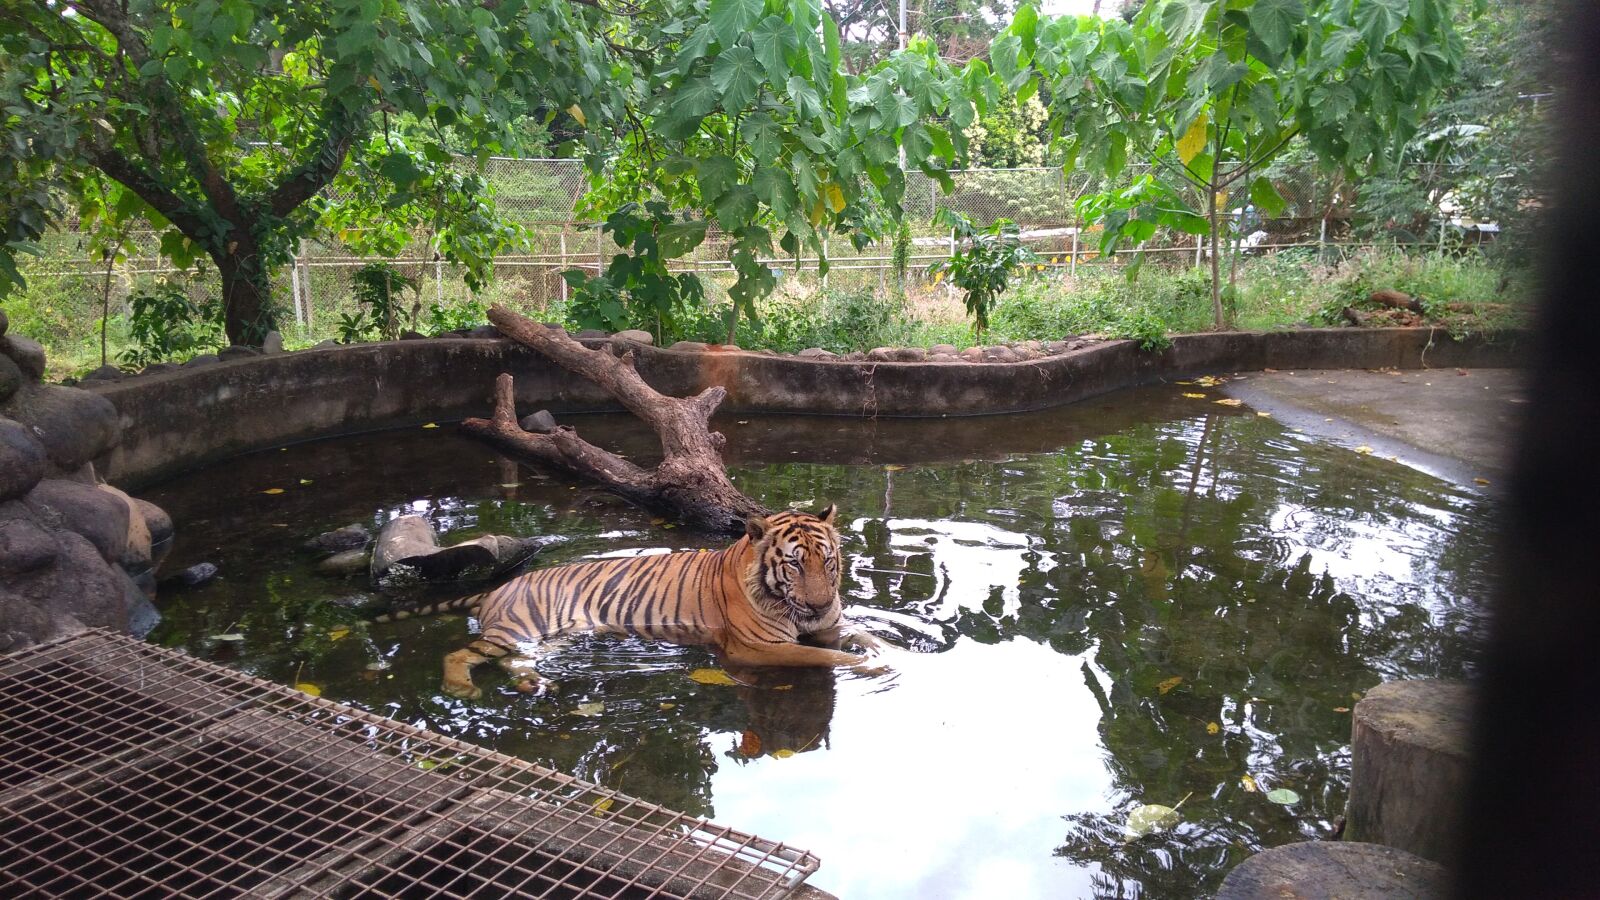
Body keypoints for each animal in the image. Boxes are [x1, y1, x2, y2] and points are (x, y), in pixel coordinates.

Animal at [376, 504, 882, 699]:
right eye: (794, 565)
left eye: (827, 561)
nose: (818, 605)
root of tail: (500, 586)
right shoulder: (759, 648)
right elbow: (827, 657)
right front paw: (872, 667)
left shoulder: (830, 624)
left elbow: (862, 633)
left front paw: (883, 651)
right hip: (515, 629)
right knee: (460, 653)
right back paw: (460, 687)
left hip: (548, 638)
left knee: (515, 662)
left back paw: (536, 686)